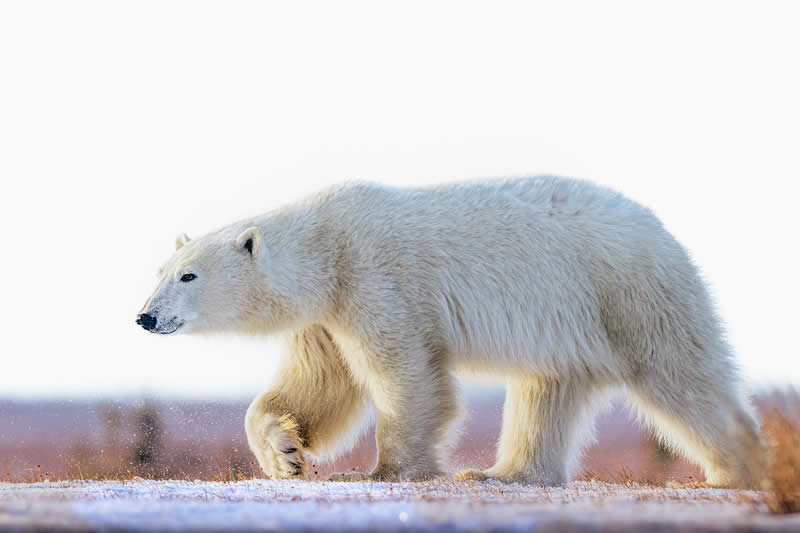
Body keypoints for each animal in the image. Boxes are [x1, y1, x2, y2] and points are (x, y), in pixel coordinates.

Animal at [136, 176, 764, 486]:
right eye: (161, 270)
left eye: (189, 274)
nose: (145, 316)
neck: (326, 246)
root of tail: (662, 231)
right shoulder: (327, 313)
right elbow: (321, 385)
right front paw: (284, 453)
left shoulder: (376, 279)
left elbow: (405, 373)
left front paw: (383, 471)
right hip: (570, 323)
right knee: (547, 392)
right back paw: (502, 474)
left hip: (625, 294)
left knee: (684, 375)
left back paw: (734, 471)